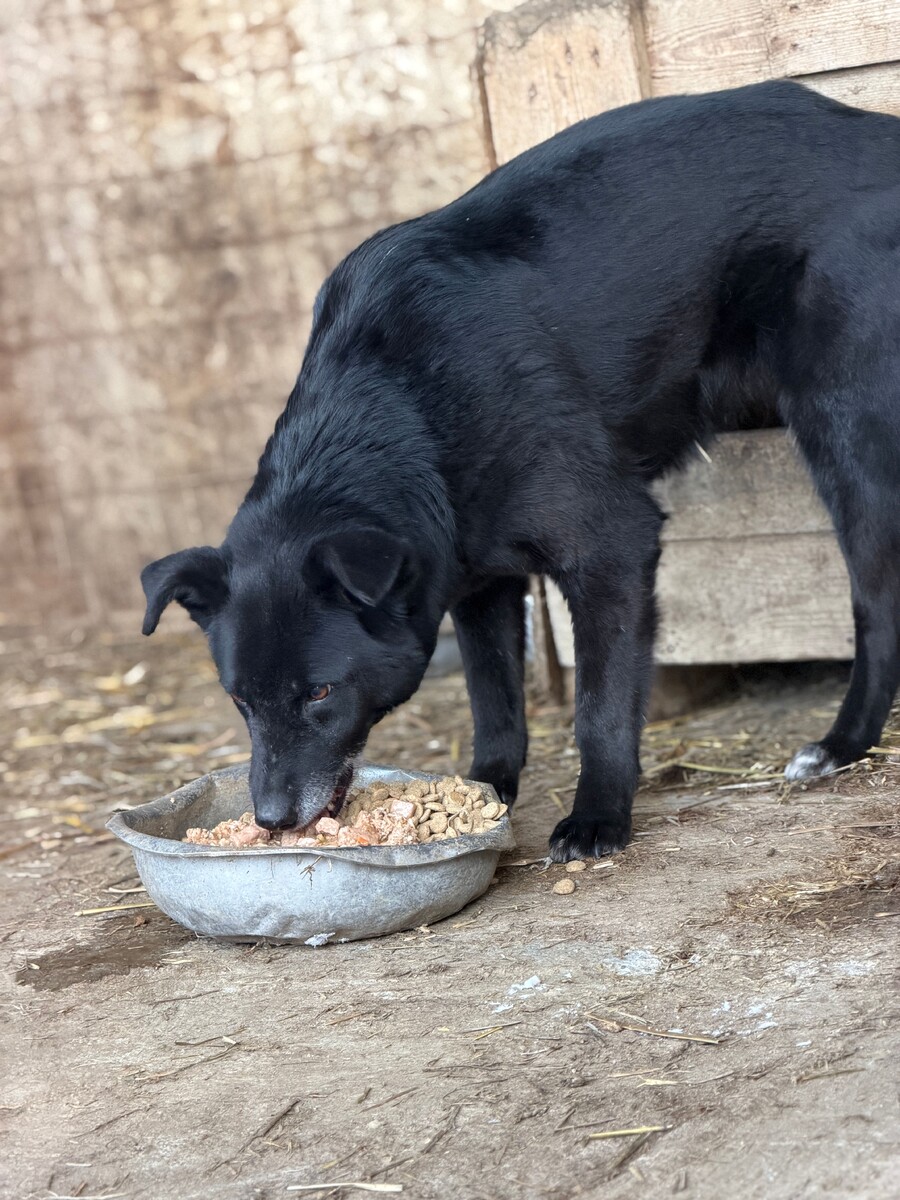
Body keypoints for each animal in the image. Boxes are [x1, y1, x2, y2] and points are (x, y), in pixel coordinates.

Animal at [142, 80, 900, 862]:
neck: (402, 408)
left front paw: (598, 815)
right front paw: (485, 793)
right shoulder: (477, 581)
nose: (272, 820)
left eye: (320, 693)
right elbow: (494, 698)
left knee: (877, 600)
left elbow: (599, 706)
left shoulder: (613, 546)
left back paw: (842, 743)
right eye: (240, 700)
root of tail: (878, 131)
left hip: (846, 435)